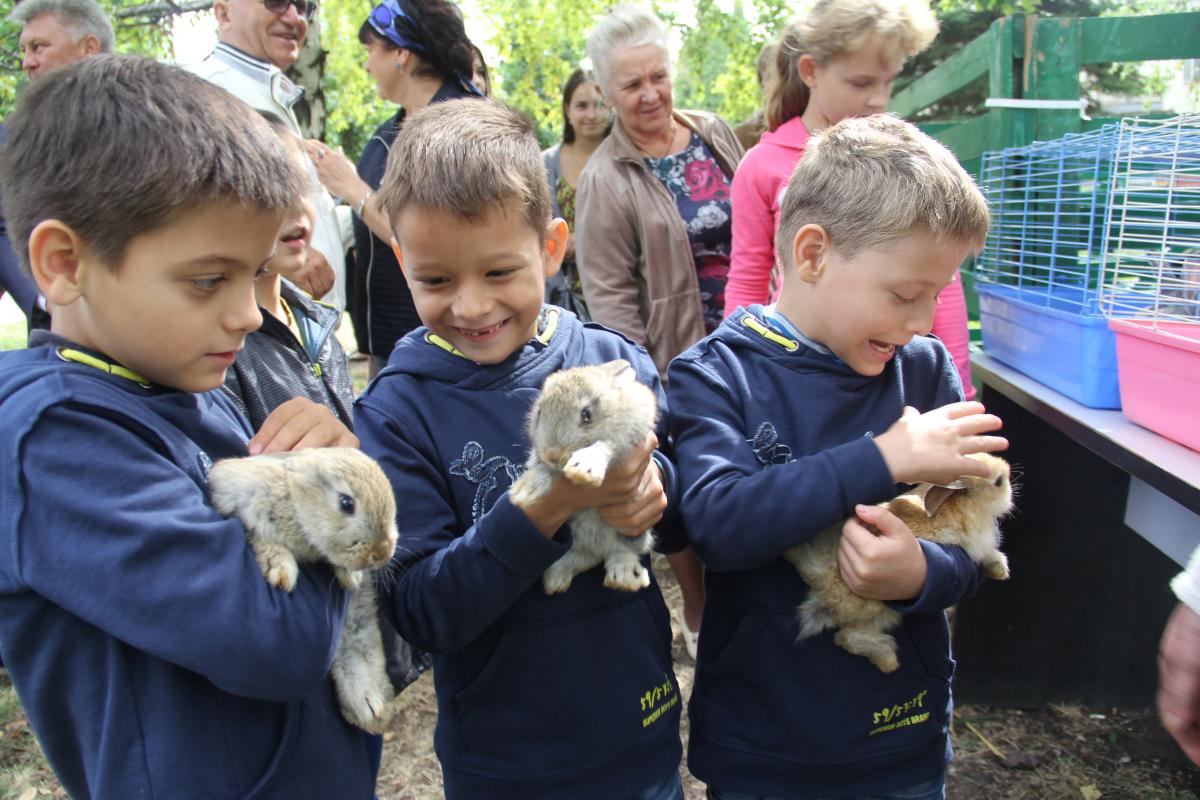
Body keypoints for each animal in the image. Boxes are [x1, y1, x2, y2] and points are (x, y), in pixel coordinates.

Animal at [210, 448, 403, 734]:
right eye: (347, 503)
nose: (382, 553)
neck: (297, 503)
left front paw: (350, 577)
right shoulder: (237, 501)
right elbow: (257, 535)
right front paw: (280, 570)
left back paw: (372, 711)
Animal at [506, 362, 657, 594]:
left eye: (587, 415)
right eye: (539, 413)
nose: (553, 455)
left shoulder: (626, 437)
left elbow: (605, 445)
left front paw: (584, 469)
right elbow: (543, 469)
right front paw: (524, 492)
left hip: (633, 532)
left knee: (622, 551)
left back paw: (623, 577)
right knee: (587, 557)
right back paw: (555, 579)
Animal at [782, 453, 1017, 671]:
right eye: (998, 481)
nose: (1009, 475)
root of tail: (823, 589)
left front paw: (1000, 571)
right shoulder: (975, 545)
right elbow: (986, 552)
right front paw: (1000, 569)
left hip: (881, 616)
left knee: (846, 636)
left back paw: (887, 659)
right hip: (875, 606)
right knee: (847, 636)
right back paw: (888, 659)